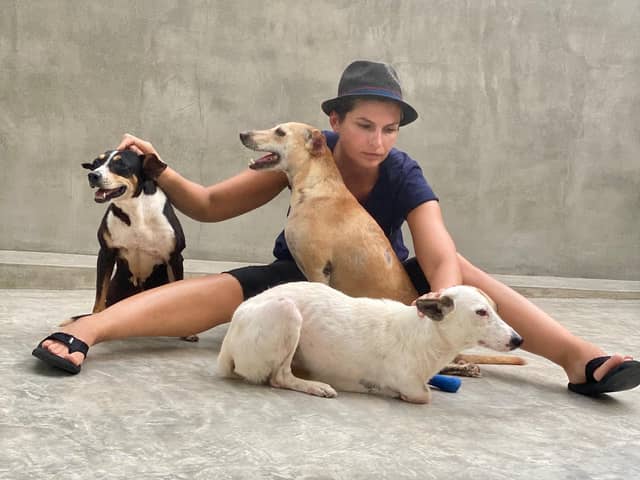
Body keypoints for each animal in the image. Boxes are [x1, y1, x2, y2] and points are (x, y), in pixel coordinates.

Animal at [218, 284, 524, 404]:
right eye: (481, 312)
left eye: (496, 308)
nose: (518, 339)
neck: (425, 334)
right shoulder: (411, 386)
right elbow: (423, 394)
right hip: (287, 310)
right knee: (279, 377)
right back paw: (315, 386)